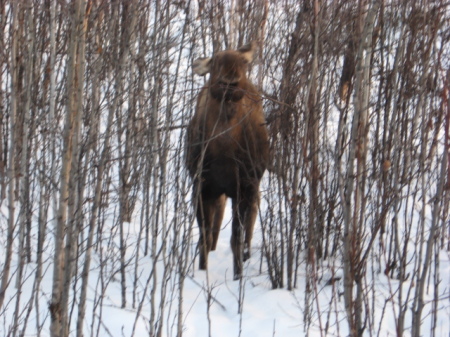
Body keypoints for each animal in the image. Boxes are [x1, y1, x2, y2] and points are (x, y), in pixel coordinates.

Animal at [185, 42, 268, 278]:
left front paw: (238, 274)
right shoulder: (202, 187)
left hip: (251, 187)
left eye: (243, 63)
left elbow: (236, 239)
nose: (230, 81)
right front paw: (202, 270)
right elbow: (204, 237)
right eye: (215, 61)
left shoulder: (244, 188)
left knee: (250, 221)